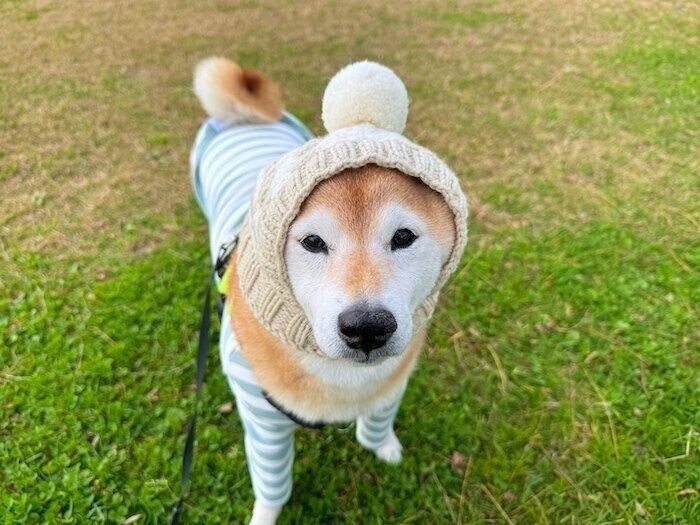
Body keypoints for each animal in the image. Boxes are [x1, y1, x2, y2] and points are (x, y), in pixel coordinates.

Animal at [190, 57, 466, 524]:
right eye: (313, 242)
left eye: (404, 237)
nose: (367, 327)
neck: (342, 380)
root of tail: (244, 118)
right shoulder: (263, 423)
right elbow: (273, 487)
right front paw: (264, 516)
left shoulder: (392, 385)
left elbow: (377, 425)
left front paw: (385, 448)